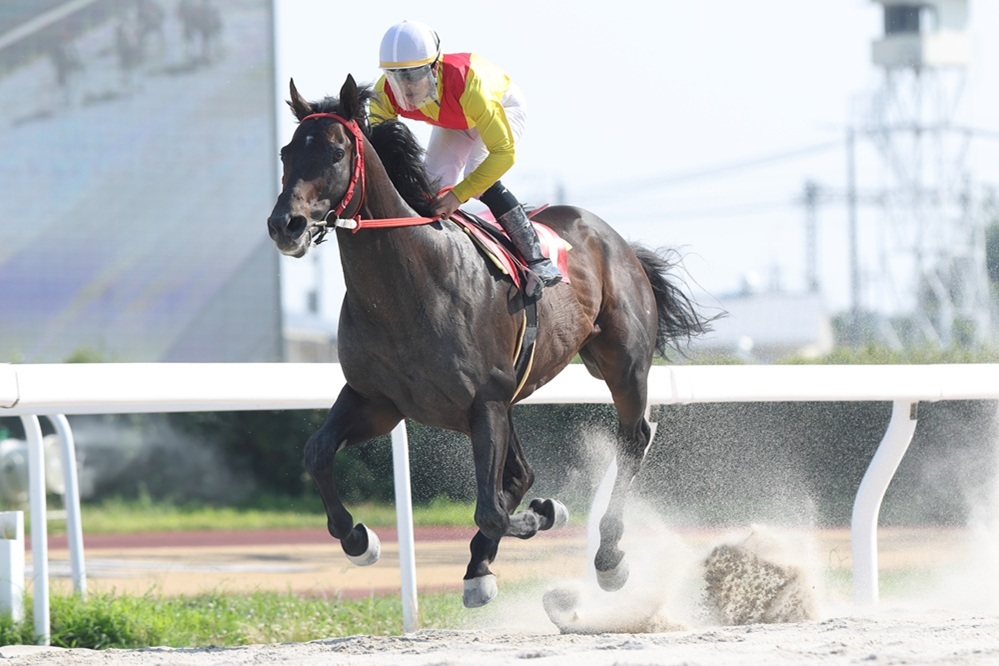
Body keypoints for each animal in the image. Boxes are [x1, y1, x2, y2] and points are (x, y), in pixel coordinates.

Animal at [267, 74, 710, 608]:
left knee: (632, 440)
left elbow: (492, 510)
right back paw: (483, 563)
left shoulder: (485, 401)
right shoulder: (377, 400)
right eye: (288, 152)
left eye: (335, 152)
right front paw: (359, 539)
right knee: (521, 472)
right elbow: (316, 452)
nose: (285, 225)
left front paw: (545, 515)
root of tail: (615, 239)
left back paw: (607, 557)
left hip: (619, 365)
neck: (410, 283)